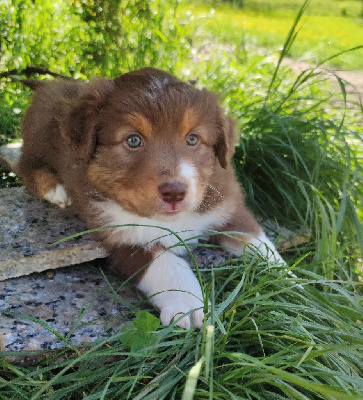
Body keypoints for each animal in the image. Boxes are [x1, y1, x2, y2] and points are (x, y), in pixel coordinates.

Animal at [17, 68, 284, 328]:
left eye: (193, 139)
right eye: (133, 140)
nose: (175, 192)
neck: (172, 220)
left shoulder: (227, 204)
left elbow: (258, 241)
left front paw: (286, 280)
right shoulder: (121, 233)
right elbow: (165, 263)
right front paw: (188, 302)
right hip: (37, 137)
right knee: (26, 166)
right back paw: (57, 190)